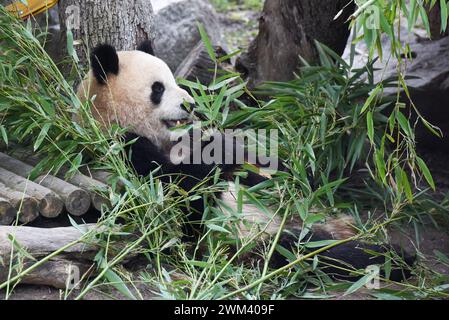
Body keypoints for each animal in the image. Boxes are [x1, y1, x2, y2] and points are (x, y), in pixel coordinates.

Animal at [76, 40, 412, 282]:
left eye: (174, 80)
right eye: (157, 89)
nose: (191, 104)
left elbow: (245, 157)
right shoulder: (126, 151)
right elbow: (182, 189)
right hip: (258, 237)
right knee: (309, 250)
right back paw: (388, 258)